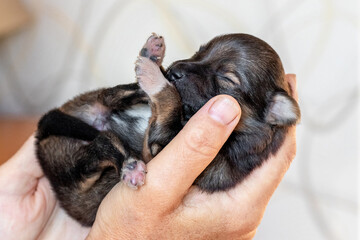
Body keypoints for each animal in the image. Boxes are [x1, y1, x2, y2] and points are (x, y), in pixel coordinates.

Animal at [35, 32, 300, 226]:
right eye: (199, 52)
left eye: (227, 79)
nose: (175, 71)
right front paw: (157, 73)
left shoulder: (159, 147)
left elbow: (168, 101)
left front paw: (158, 82)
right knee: (112, 97)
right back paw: (151, 59)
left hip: (70, 170)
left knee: (103, 141)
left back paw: (129, 163)